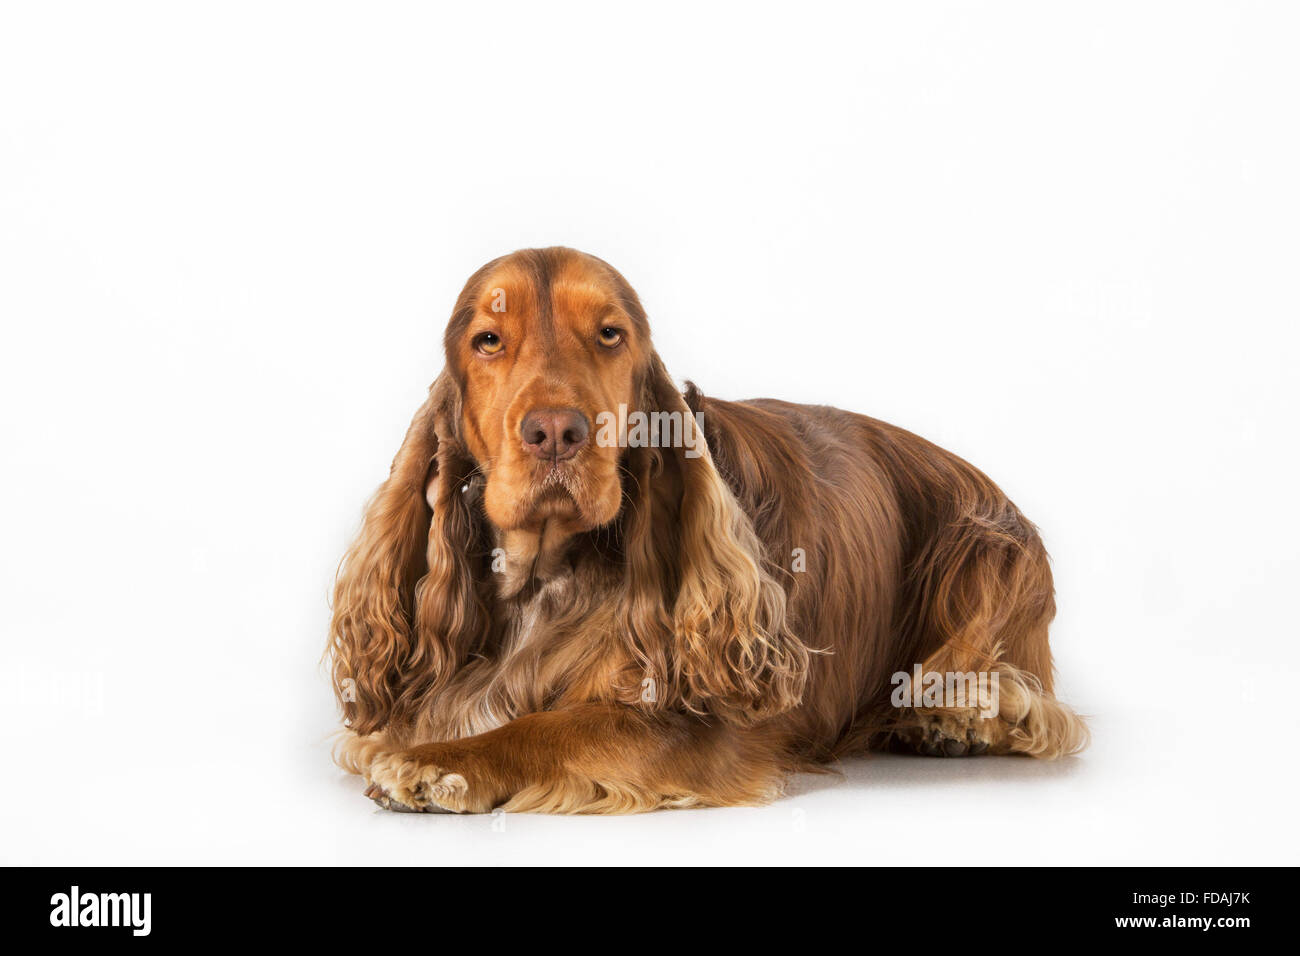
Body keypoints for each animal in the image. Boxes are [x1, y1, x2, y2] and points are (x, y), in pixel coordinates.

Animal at [327, 247, 1086, 816]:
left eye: (610, 334)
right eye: (487, 340)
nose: (557, 434)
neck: (545, 576)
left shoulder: (693, 728)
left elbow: (542, 730)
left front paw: (438, 765)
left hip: (984, 548)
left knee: (1029, 697)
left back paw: (956, 717)